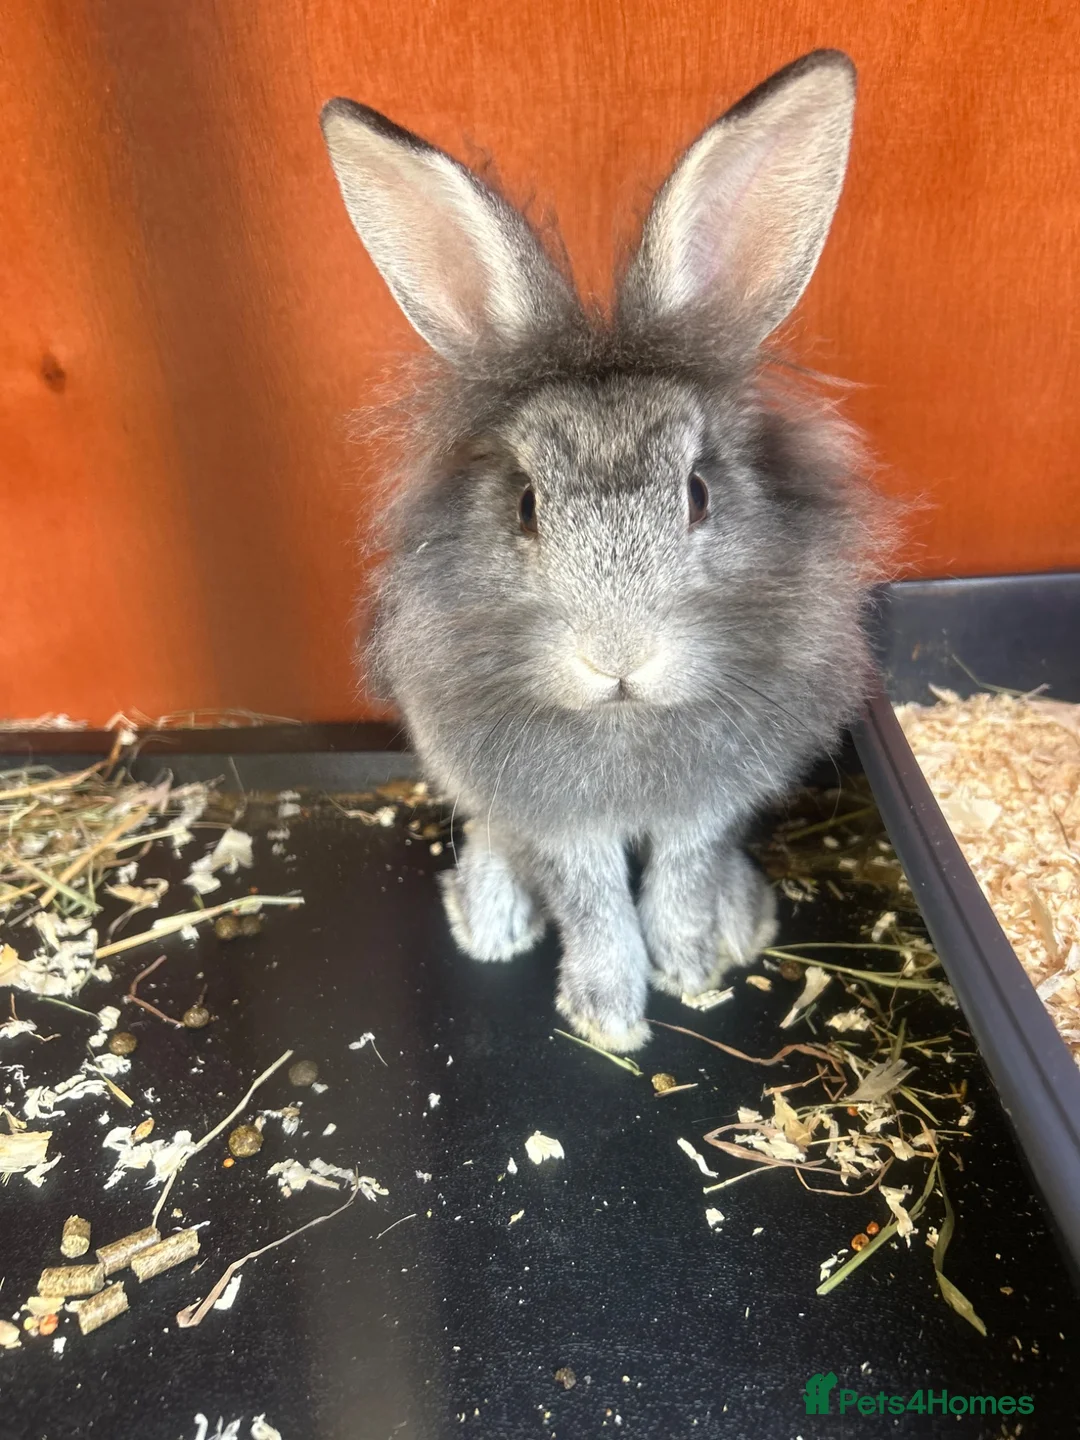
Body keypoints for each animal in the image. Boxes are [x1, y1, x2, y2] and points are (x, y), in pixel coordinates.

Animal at [320, 50, 882, 1052]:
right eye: (526, 506)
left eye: (698, 493)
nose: (617, 659)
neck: (624, 723)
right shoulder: (557, 820)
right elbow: (593, 905)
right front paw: (610, 1019)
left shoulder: (705, 809)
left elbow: (678, 882)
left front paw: (692, 970)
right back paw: (491, 923)